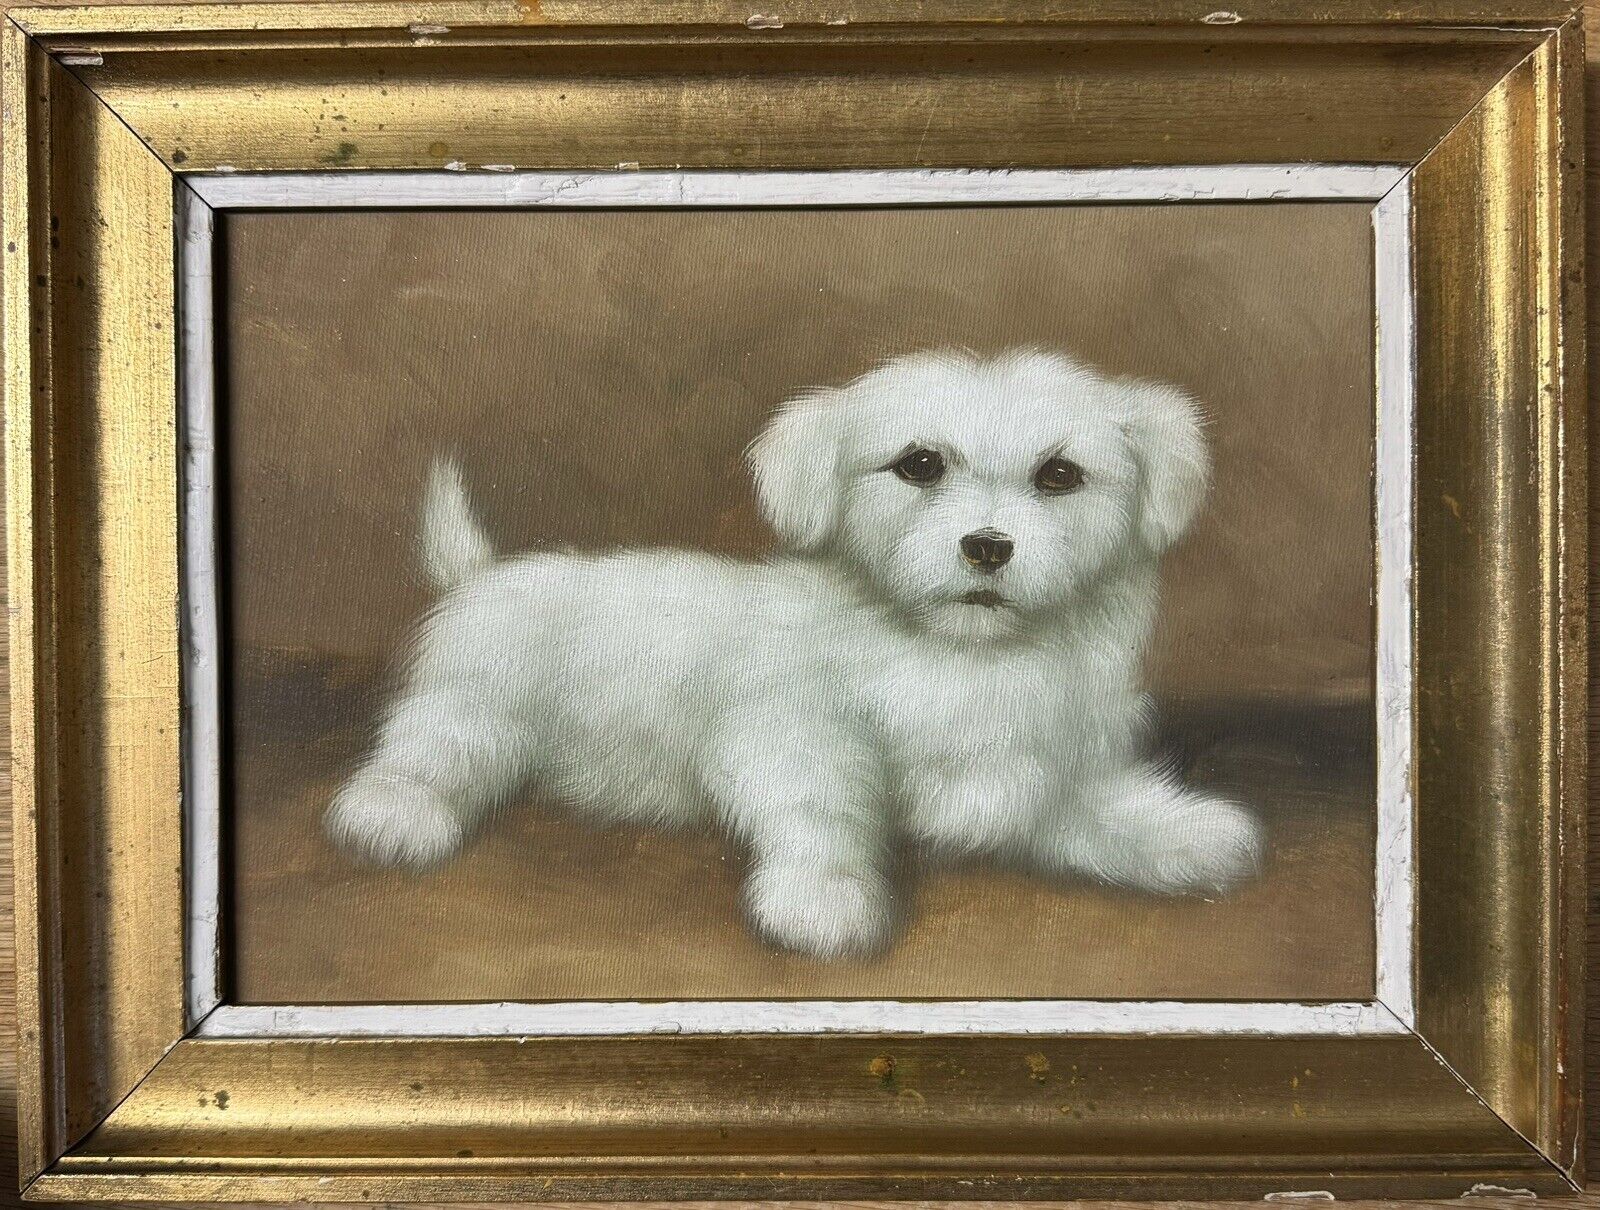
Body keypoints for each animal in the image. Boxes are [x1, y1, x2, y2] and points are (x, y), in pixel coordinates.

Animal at [324, 347, 1260, 953]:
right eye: (919, 464)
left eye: (1059, 476)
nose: (988, 547)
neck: (954, 655)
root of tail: (482, 576)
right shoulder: (796, 737)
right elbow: (822, 811)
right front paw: (825, 898)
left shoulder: (1028, 767)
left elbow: (1089, 810)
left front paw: (1178, 833)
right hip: (472, 707)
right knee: (424, 757)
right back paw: (396, 815)